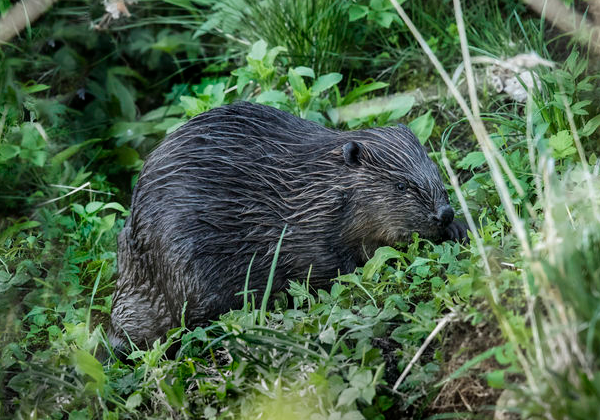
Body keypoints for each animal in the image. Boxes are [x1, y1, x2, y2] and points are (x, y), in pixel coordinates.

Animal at [108, 101, 468, 354]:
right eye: (401, 186)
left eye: (434, 168)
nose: (444, 213)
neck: (314, 186)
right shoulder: (304, 234)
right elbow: (329, 268)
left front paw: (459, 228)